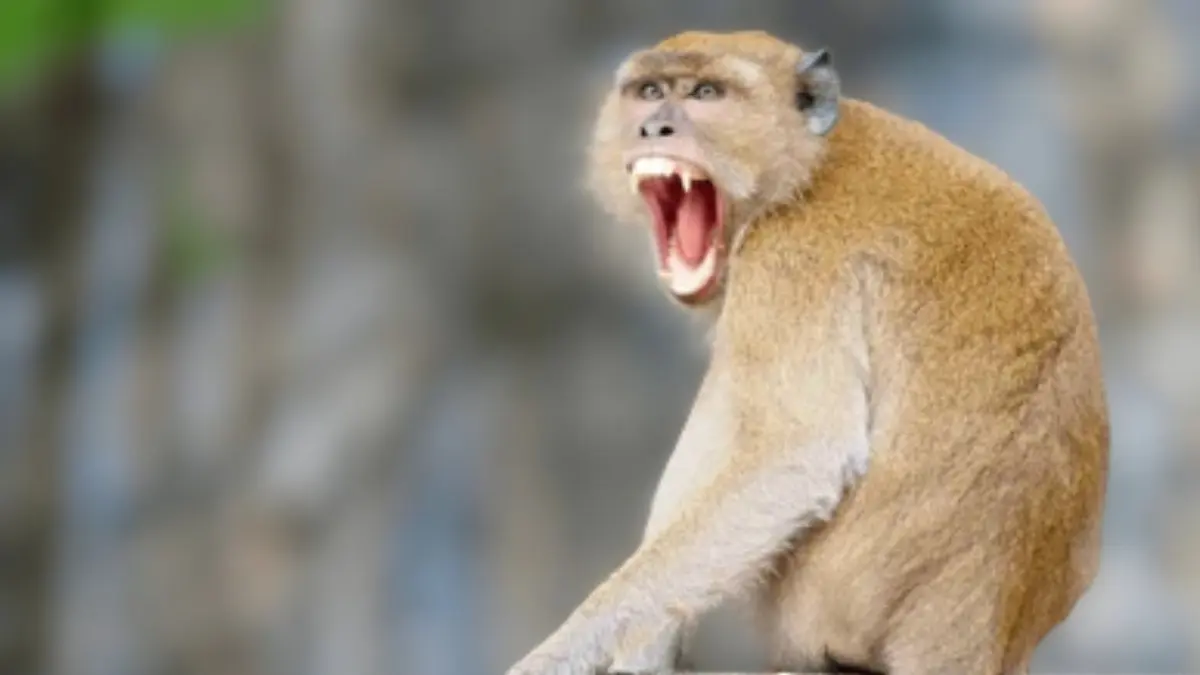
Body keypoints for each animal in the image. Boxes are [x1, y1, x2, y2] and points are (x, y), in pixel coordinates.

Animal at [506, 30, 1109, 675]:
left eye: (705, 93)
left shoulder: (791, 253)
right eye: (649, 91)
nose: (653, 127)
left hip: (825, 601)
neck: (809, 160)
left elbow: (798, 455)